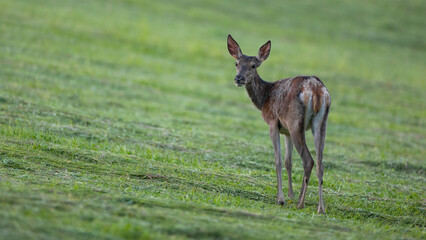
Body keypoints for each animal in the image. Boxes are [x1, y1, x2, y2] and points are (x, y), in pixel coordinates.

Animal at [228, 34, 332, 213]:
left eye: (253, 65)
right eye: (236, 63)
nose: (238, 78)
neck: (264, 98)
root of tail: (316, 90)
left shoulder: (272, 122)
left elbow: (277, 160)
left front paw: (281, 198)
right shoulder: (286, 131)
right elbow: (288, 161)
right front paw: (291, 194)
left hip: (295, 121)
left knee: (308, 160)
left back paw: (301, 203)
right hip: (321, 122)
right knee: (320, 162)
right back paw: (320, 208)